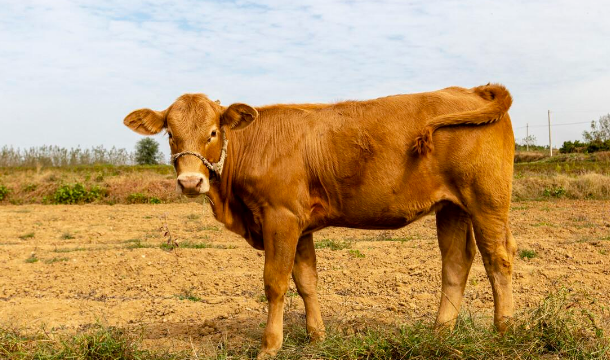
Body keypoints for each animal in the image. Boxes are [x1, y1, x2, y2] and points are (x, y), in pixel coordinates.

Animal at [123, 84, 512, 358]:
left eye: (213, 132)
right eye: (170, 134)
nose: (191, 182)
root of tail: (472, 89)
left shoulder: (280, 217)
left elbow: (275, 282)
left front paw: (270, 345)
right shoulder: (300, 225)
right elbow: (306, 281)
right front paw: (317, 337)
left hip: (487, 200)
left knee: (498, 260)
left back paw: (504, 331)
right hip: (452, 207)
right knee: (456, 263)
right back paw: (440, 332)